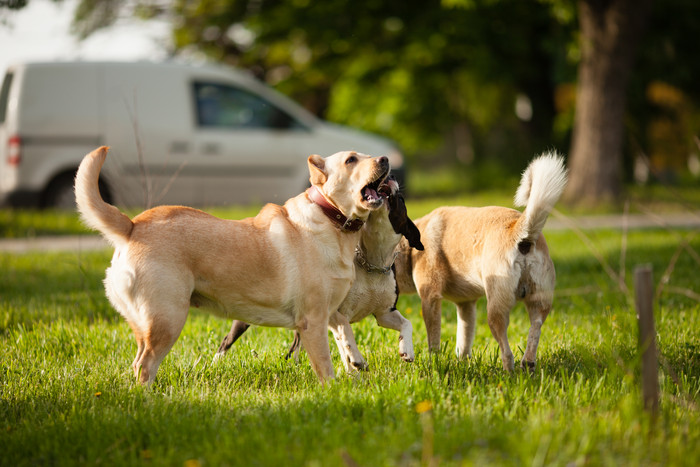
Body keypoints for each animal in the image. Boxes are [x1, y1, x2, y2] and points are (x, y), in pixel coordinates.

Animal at [74, 146, 392, 384]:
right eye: (351, 160)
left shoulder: (324, 311)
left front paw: (355, 359)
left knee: (137, 362)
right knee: (145, 365)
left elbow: (343, 329)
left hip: (145, 323)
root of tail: (132, 226)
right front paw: (333, 389)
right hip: (168, 319)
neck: (331, 219)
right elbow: (325, 365)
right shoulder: (311, 319)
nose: (386, 159)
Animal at [213, 176, 424, 372]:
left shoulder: (384, 313)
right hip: (247, 316)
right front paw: (354, 366)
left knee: (296, 345)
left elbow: (407, 323)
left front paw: (407, 350)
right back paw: (217, 363)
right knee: (227, 340)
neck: (372, 261)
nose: (392, 177)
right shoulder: (335, 312)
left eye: (401, 199)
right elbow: (345, 337)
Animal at [394, 154, 568, 372]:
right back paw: (528, 363)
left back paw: (509, 372)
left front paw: (434, 360)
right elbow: (464, 339)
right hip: (539, 302)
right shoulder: (466, 305)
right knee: (535, 329)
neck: (411, 249)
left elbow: (433, 338)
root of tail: (520, 232)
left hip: (495, 310)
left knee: (506, 349)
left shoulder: (430, 297)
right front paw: (462, 362)